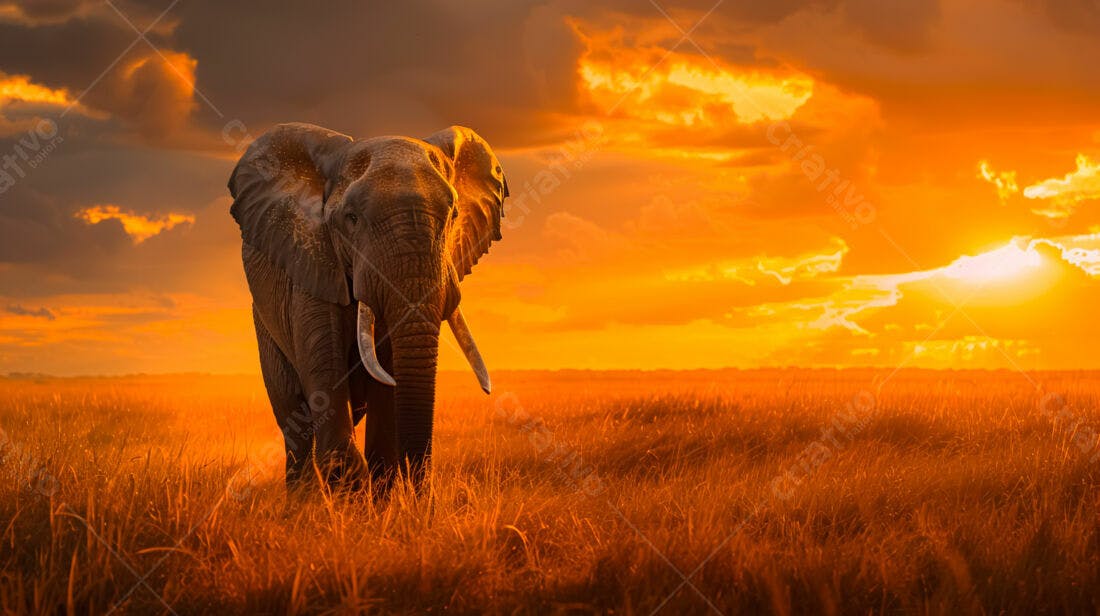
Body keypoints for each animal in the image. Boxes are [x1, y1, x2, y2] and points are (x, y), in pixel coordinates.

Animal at [228, 123, 507, 494]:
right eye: (352, 219)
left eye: (455, 215)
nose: (423, 495)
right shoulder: (313, 262)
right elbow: (326, 371)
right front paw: (347, 492)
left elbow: (386, 379)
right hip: (264, 321)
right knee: (294, 418)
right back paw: (302, 499)